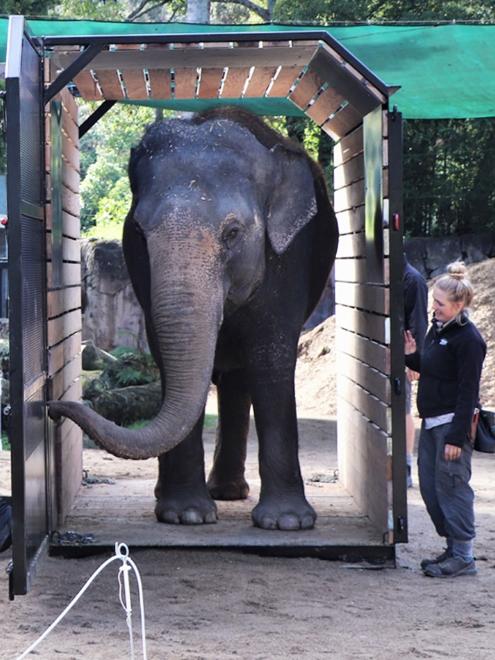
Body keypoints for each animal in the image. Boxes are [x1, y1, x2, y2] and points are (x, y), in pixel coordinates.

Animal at [48, 107, 340, 532]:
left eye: (233, 232)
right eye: (138, 230)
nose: (52, 408)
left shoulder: (290, 256)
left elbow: (270, 355)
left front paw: (287, 522)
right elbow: (166, 355)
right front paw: (185, 515)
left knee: (239, 379)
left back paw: (229, 493)